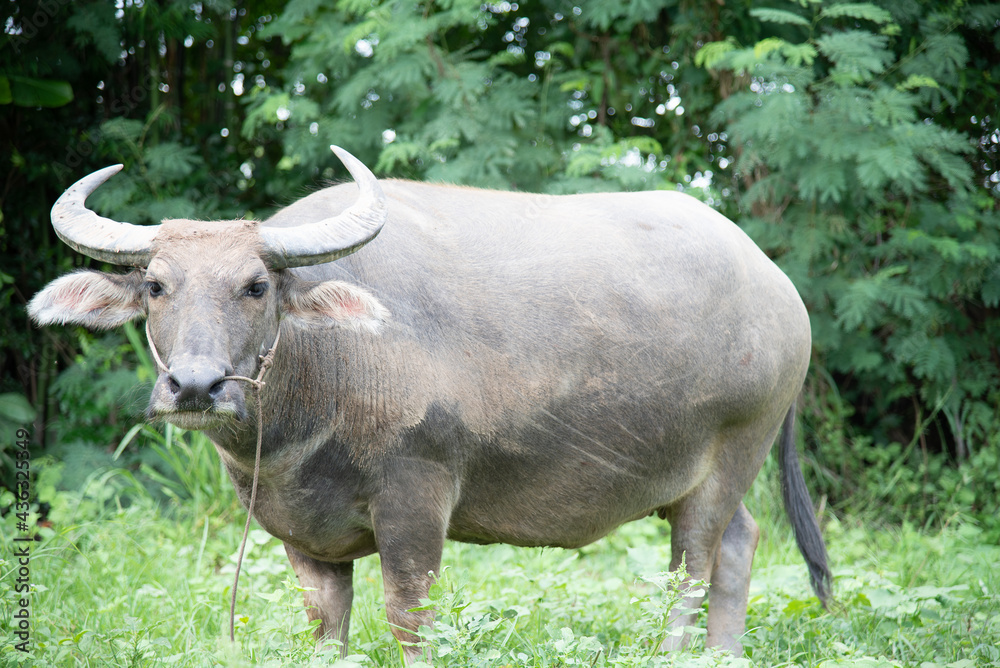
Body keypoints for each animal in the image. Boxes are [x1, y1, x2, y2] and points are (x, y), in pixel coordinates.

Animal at [29, 145, 828, 656]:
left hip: (736, 447)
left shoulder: (417, 498)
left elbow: (411, 619)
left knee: (690, 572)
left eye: (256, 286)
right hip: (705, 474)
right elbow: (328, 628)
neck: (325, 378)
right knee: (738, 545)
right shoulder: (303, 538)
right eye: (156, 285)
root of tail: (778, 288)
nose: (195, 386)